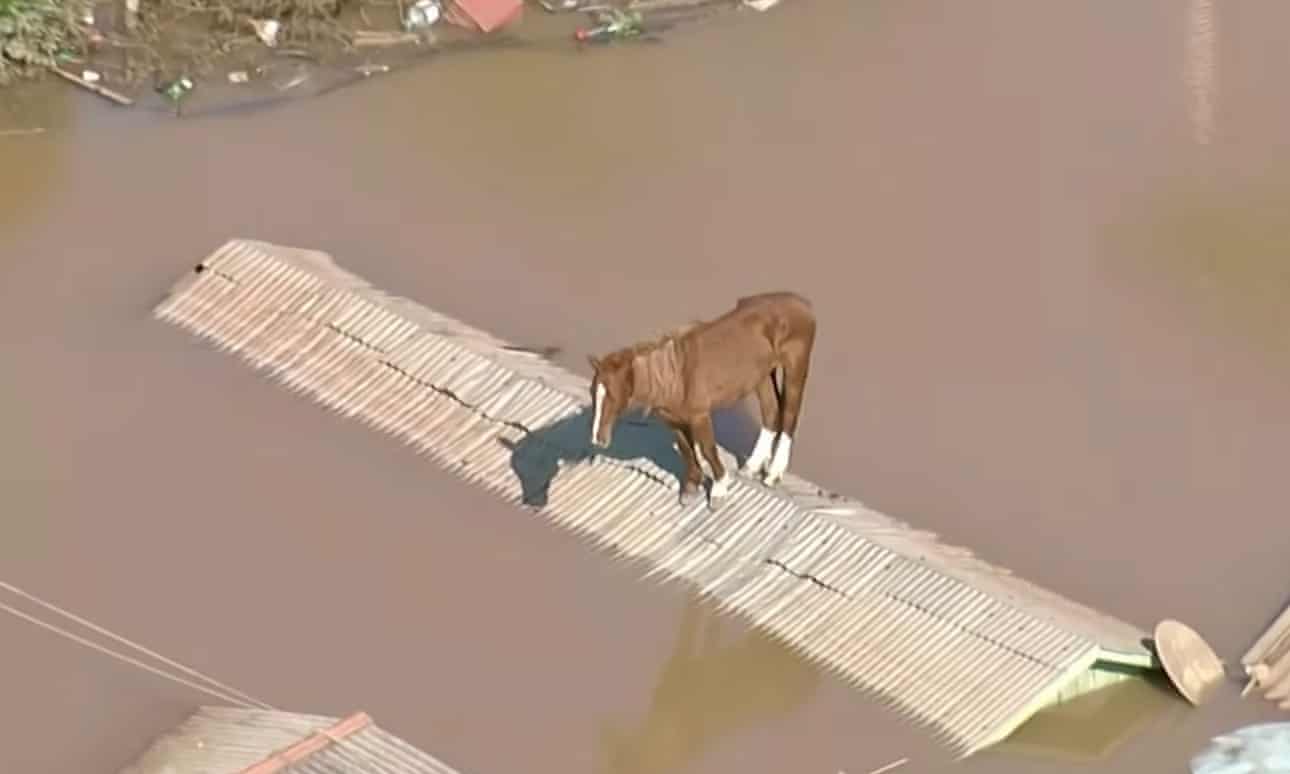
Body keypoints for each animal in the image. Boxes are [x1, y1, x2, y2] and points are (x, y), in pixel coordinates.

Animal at [587, 292, 816, 508]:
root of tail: (802, 303)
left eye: (613, 394)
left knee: (789, 416)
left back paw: (773, 474)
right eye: (592, 393)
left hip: (795, 366)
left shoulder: (700, 416)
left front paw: (719, 490)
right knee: (771, 412)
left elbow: (707, 450)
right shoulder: (674, 421)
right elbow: (686, 450)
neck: (676, 376)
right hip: (762, 375)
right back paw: (752, 467)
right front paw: (690, 488)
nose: (598, 439)